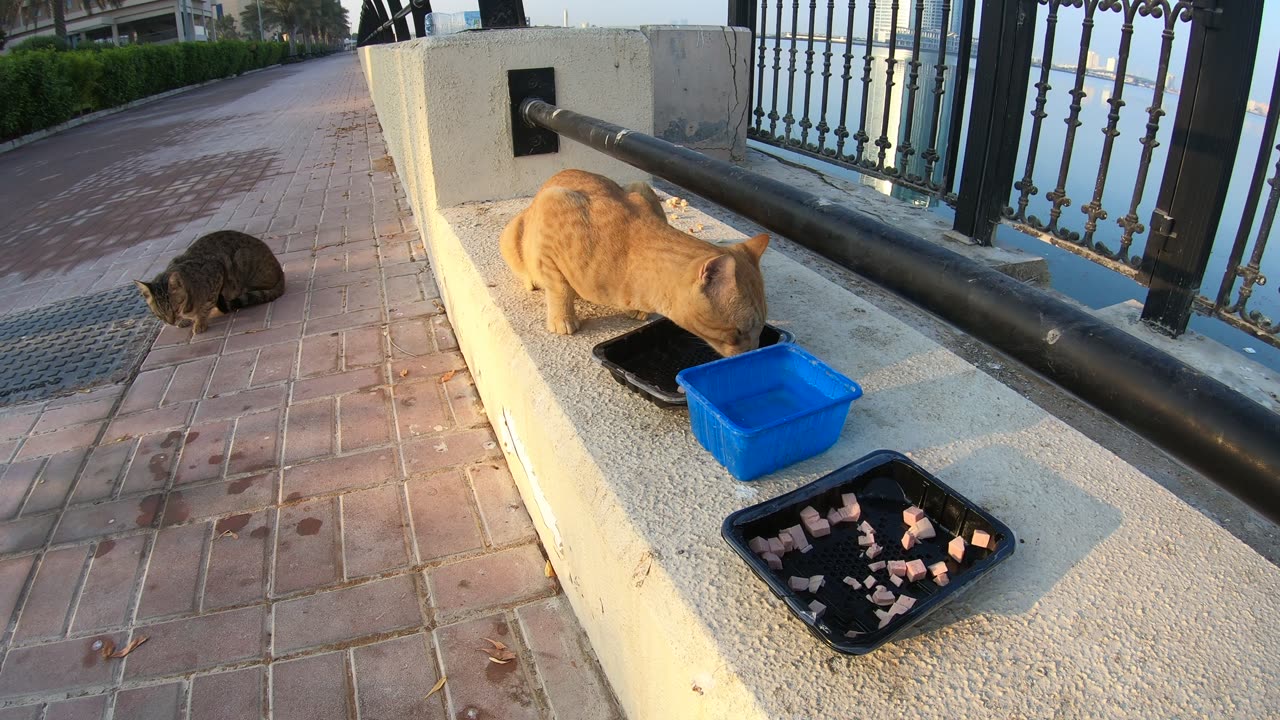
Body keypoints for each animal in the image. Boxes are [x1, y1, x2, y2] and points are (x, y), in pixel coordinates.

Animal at [135, 229, 285, 335]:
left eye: (175, 308)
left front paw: (199, 323)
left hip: (242, 259)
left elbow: (206, 306)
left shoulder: (217, 272)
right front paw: (182, 321)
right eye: (159, 314)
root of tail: (280, 272)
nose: (171, 322)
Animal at [496, 169, 768, 358]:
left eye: (759, 331)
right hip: (512, 232)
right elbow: (559, 286)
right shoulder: (553, 206)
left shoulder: (641, 195)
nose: (755, 352)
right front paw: (562, 317)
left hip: (640, 184)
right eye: (739, 331)